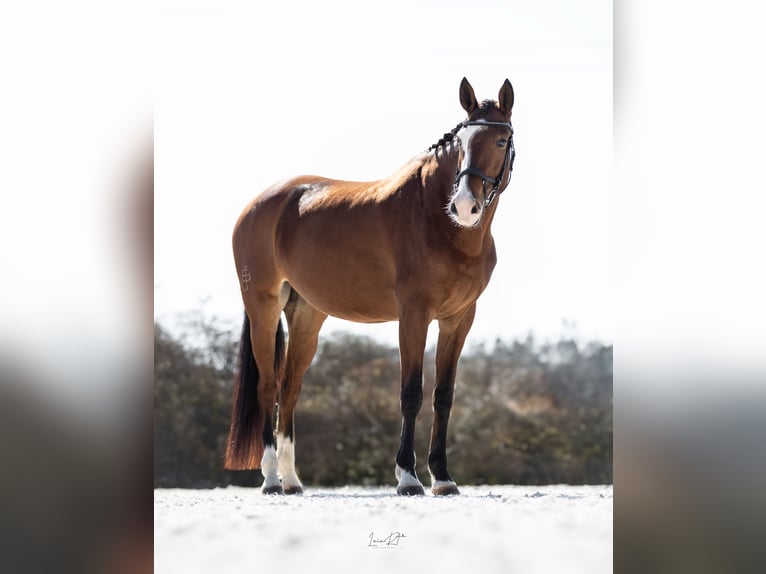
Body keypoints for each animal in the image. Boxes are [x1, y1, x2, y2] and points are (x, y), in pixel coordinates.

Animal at [225, 77, 516, 496]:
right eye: (461, 142)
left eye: (500, 141)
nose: (464, 206)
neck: (437, 219)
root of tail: (259, 204)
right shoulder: (413, 315)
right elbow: (411, 392)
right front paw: (408, 477)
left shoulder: (459, 318)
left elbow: (443, 395)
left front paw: (443, 478)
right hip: (263, 307)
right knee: (267, 387)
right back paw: (270, 480)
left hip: (307, 316)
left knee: (288, 389)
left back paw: (293, 480)